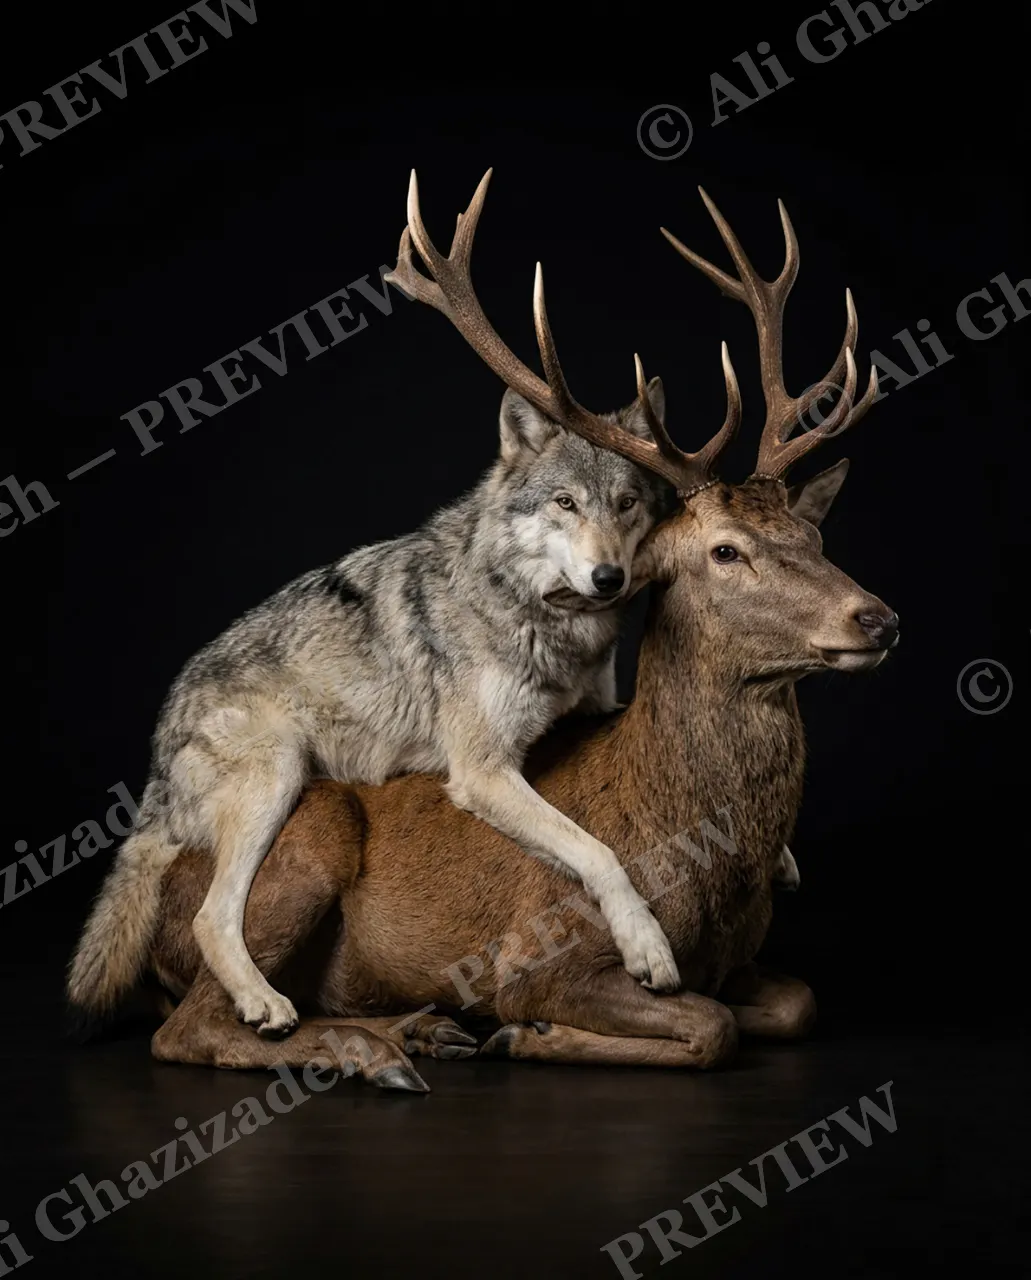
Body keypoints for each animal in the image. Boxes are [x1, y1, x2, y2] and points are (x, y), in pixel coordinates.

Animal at [68, 383, 681, 1037]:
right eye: (566, 503)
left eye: (626, 503)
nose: (608, 577)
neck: (535, 611)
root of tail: (158, 757)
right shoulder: (482, 774)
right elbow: (598, 852)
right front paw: (647, 945)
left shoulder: (597, 705)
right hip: (279, 773)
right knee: (210, 918)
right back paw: (264, 1003)